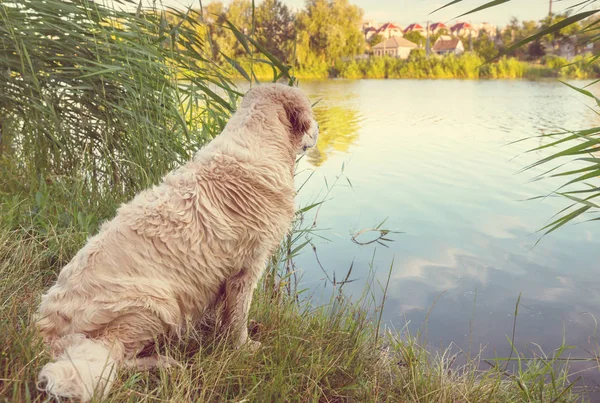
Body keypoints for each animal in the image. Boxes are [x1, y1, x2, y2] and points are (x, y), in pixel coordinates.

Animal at [34, 83, 318, 402]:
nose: (319, 129)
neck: (260, 140)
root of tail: (47, 329)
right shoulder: (247, 268)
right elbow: (238, 317)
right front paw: (244, 348)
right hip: (154, 304)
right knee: (115, 358)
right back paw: (163, 364)